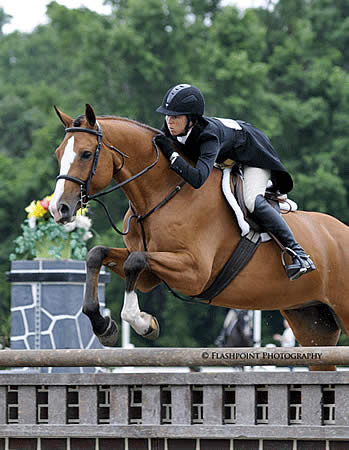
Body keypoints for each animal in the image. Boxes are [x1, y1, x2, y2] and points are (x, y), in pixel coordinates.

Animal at [49, 103, 348, 370]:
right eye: (59, 153)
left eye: (86, 154)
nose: (58, 209)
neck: (164, 193)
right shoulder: (150, 275)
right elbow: (97, 254)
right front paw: (104, 327)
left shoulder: (194, 272)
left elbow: (134, 262)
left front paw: (143, 323)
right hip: (312, 321)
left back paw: (300, 261)